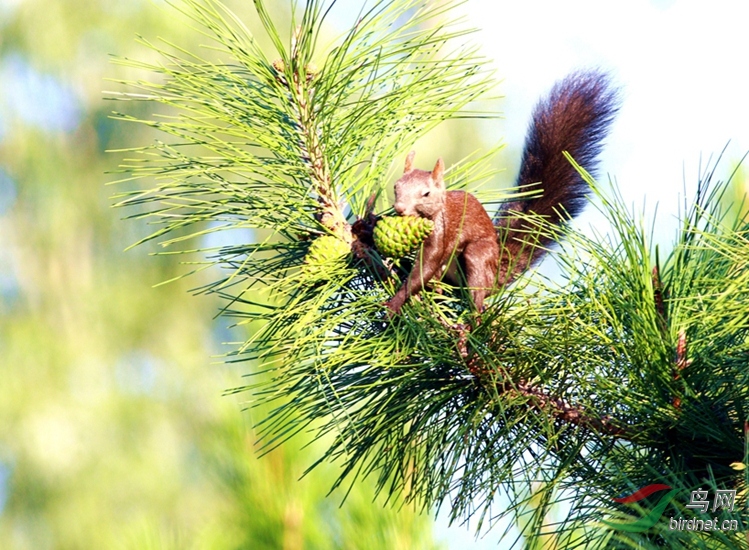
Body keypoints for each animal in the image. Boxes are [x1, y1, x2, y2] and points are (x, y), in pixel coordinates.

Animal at [386, 71, 620, 316]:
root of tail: (496, 269)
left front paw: (395, 303)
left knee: (475, 294)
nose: (400, 208)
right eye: (396, 187)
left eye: (426, 194)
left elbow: (425, 268)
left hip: (477, 256)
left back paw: (470, 319)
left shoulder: (443, 233)